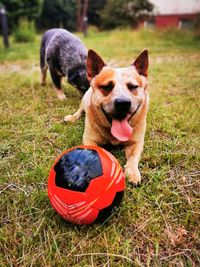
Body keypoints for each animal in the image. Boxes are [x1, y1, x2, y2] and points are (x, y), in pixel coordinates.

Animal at [64, 49, 148, 185]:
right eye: (107, 87)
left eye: (133, 87)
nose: (123, 103)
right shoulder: (89, 140)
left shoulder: (137, 143)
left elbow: (133, 158)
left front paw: (133, 172)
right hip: (84, 101)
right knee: (80, 111)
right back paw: (72, 117)